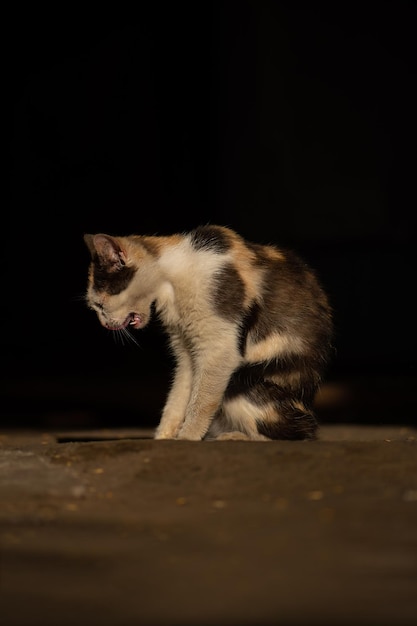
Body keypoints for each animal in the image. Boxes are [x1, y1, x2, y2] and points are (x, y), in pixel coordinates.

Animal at [83, 224, 332, 438]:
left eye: (100, 306)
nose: (104, 324)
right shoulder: (186, 350)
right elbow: (179, 395)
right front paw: (165, 437)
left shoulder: (219, 347)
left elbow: (201, 401)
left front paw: (187, 437)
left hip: (243, 381)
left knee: (296, 434)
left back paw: (234, 437)